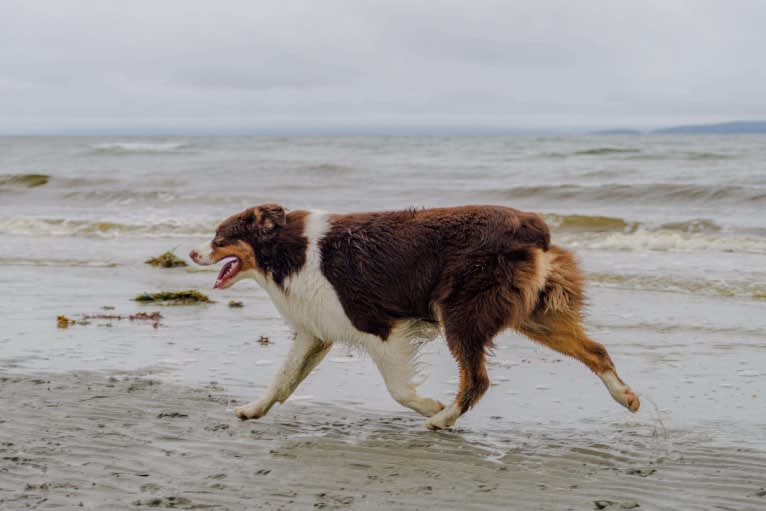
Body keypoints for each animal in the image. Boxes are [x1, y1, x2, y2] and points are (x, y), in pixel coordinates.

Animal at [192, 206, 640, 430]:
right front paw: (253, 410)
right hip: (533, 314)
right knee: (596, 350)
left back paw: (442, 419)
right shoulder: (314, 332)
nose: (193, 252)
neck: (287, 249)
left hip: (460, 312)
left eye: (218, 237)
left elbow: (397, 390)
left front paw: (428, 406)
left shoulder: (378, 327)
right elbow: (282, 380)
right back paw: (625, 396)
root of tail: (531, 225)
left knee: (477, 379)